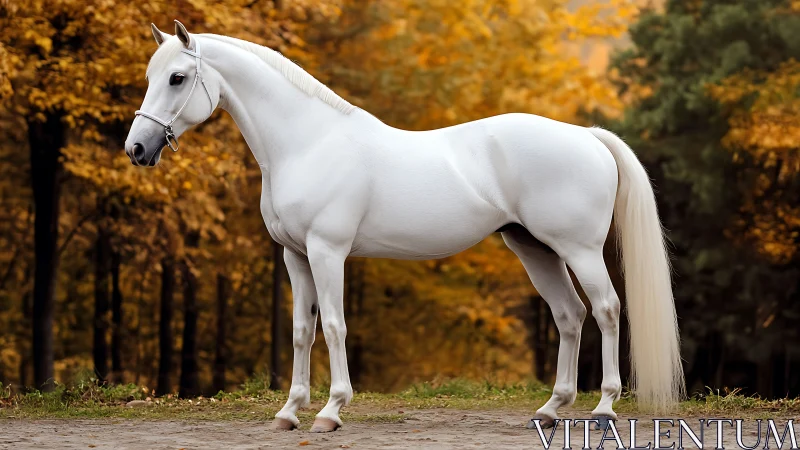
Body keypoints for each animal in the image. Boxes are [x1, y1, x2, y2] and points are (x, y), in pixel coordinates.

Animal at [125, 20, 684, 433]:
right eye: (152, 76)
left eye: (177, 78)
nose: (136, 149)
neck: (308, 142)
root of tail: (587, 136)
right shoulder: (295, 256)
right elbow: (303, 331)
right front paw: (289, 412)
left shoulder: (328, 252)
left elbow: (334, 326)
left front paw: (330, 412)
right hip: (535, 250)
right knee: (569, 315)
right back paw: (550, 410)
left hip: (578, 249)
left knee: (607, 310)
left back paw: (604, 407)